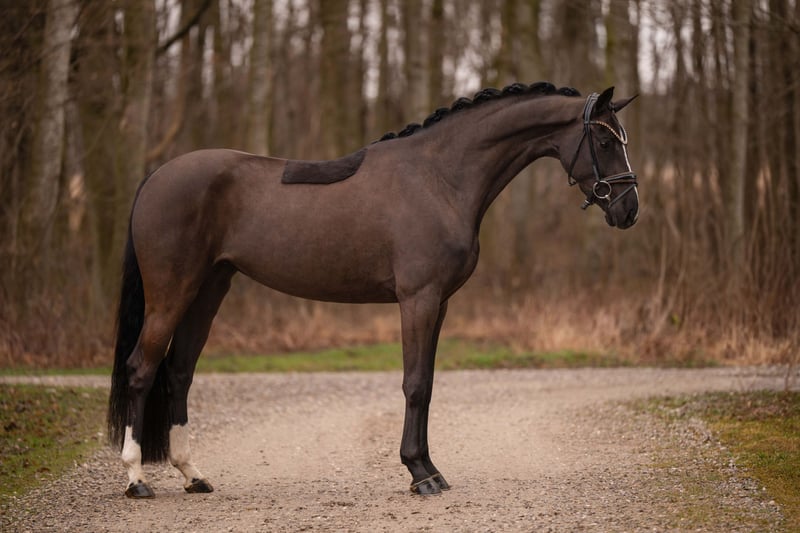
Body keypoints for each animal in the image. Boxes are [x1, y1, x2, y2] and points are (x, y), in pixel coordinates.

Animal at [108, 82, 639, 498]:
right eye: (603, 140)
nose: (629, 210)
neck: (439, 178)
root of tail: (156, 177)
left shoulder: (440, 304)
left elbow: (428, 384)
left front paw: (429, 469)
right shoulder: (418, 300)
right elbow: (415, 383)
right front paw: (420, 474)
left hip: (208, 290)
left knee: (179, 373)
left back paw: (193, 475)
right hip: (171, 293)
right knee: (142, 369)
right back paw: (136, 478)